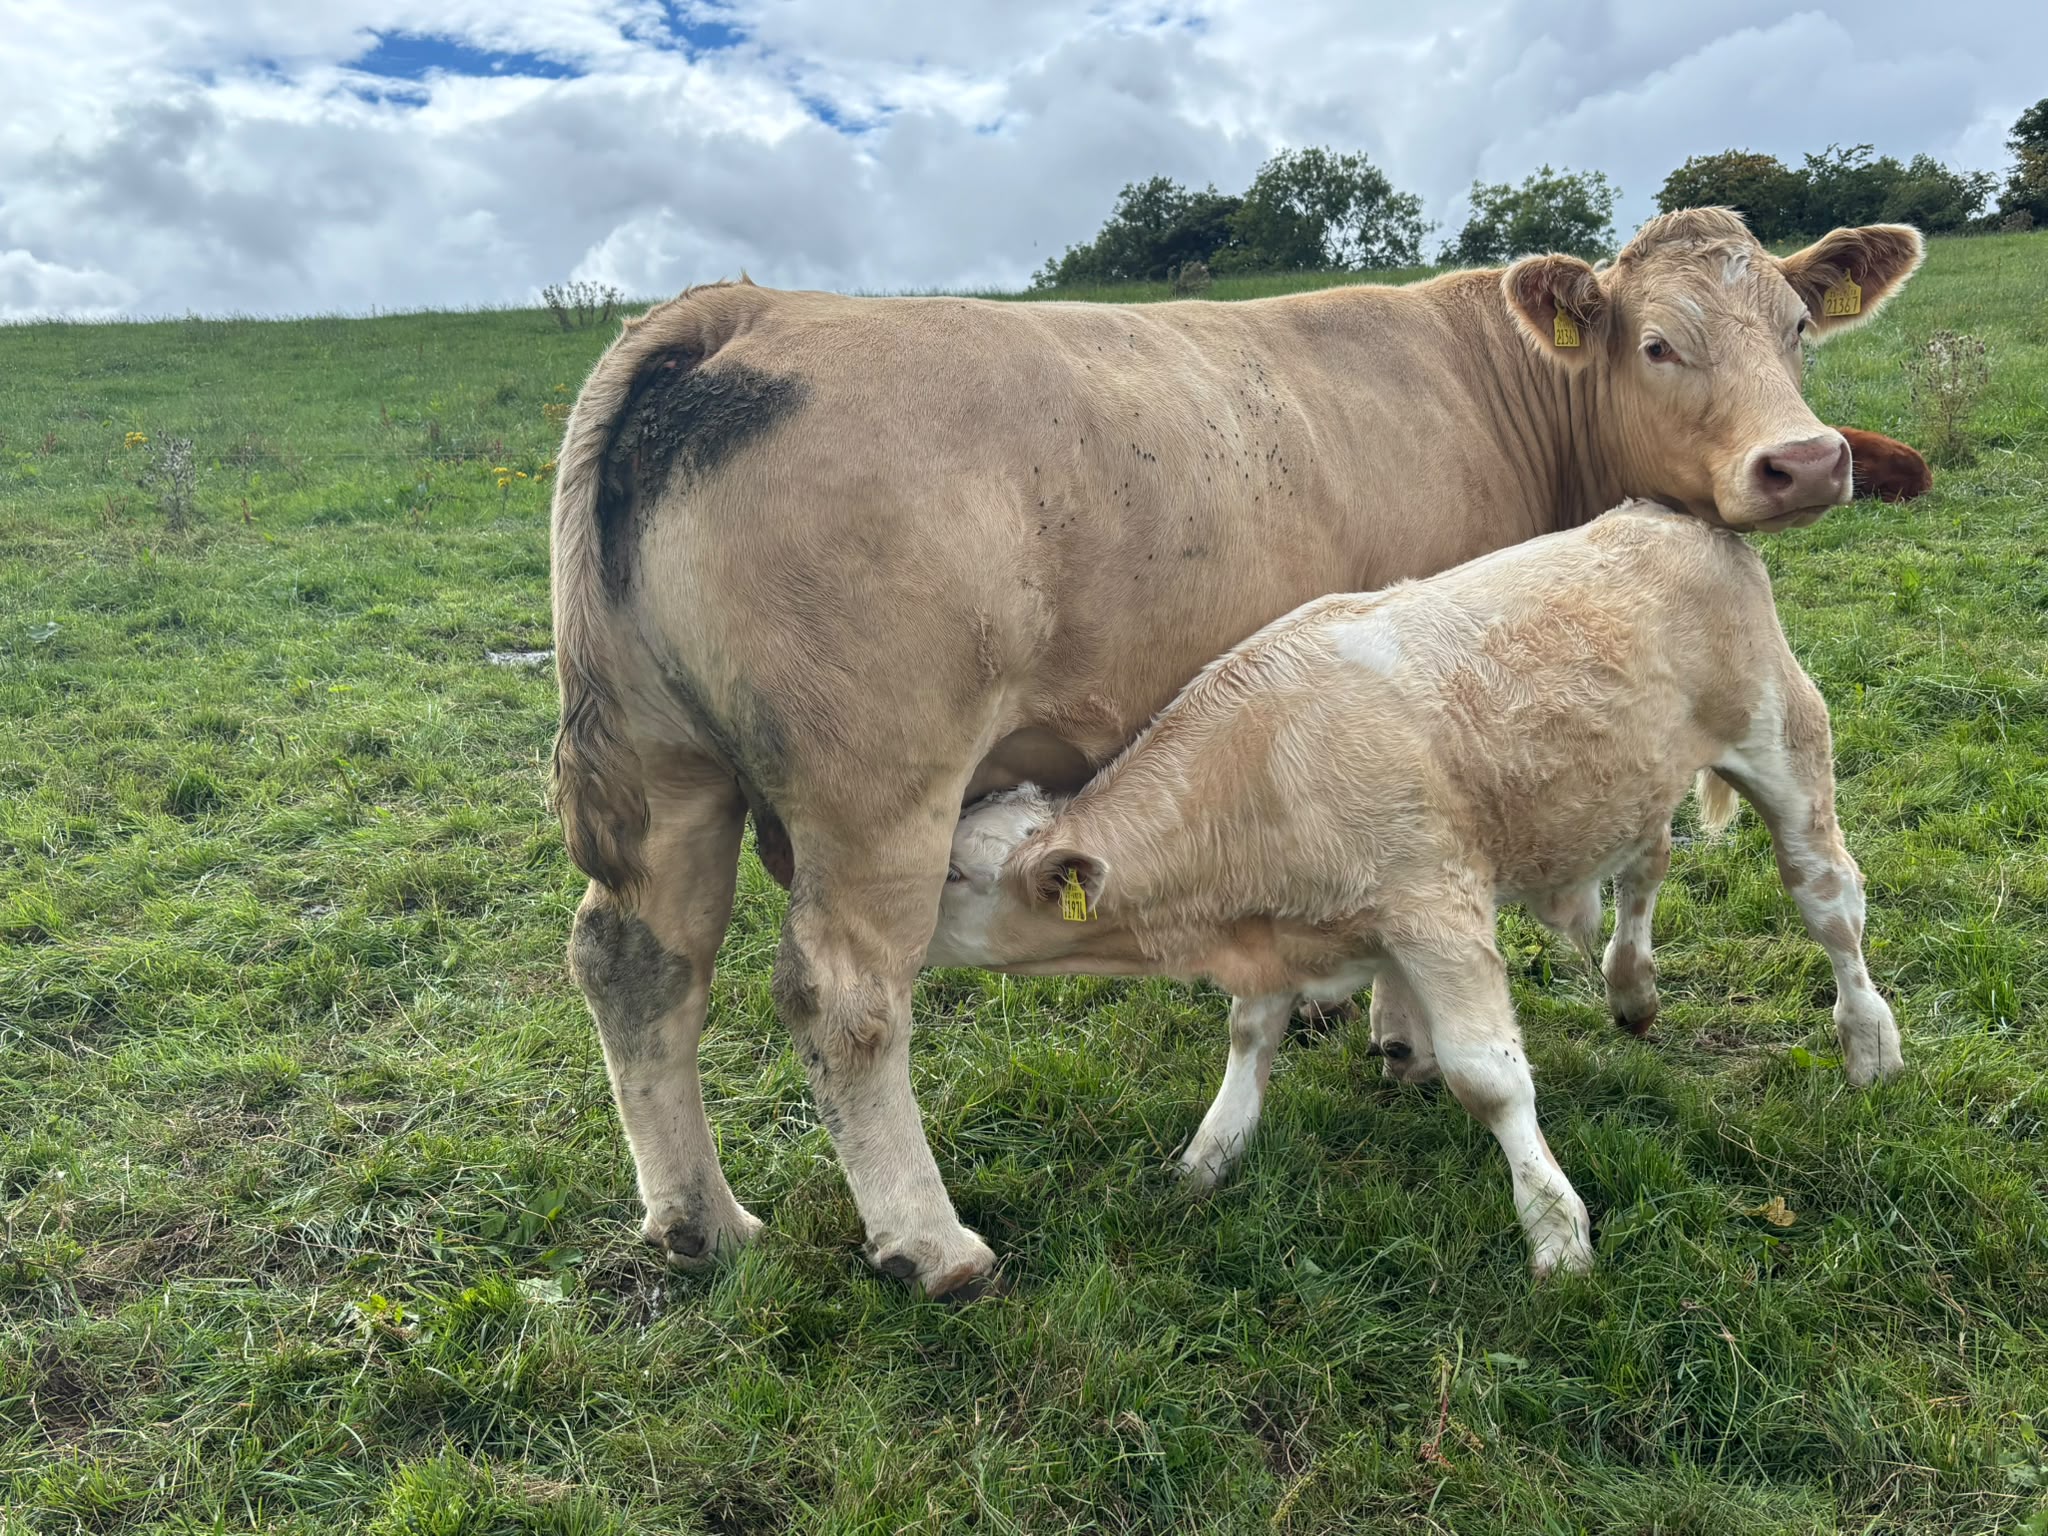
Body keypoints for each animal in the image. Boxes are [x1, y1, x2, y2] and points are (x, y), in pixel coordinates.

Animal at [925, 504, 1905, 1277]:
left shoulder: (1436, 912)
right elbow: (1249, 1040)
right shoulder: (1283, 933)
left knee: (1829, 899)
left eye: (955, 873)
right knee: (1646, 864)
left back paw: (1868, 1044)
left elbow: (1490, 1079)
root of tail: (1673, 520)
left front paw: (1556, 1231)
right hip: (1626, 782)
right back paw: (1630, 986)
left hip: (1786, 744)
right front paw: (1207, 1158)